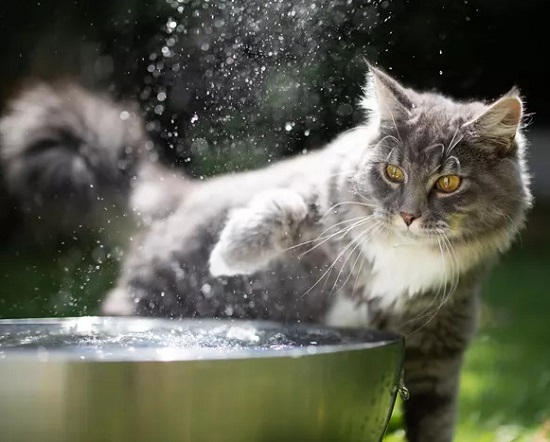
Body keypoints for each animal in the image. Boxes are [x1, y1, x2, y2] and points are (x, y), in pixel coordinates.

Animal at [0, 63, 536, 442]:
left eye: (447, 183)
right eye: (393, 173)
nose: (406, 215)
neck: (403, 256)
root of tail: (181, 198)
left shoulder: (438, 348)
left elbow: (433, 422)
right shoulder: (322, 195)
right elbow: (286, 207)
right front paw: (231, 253)